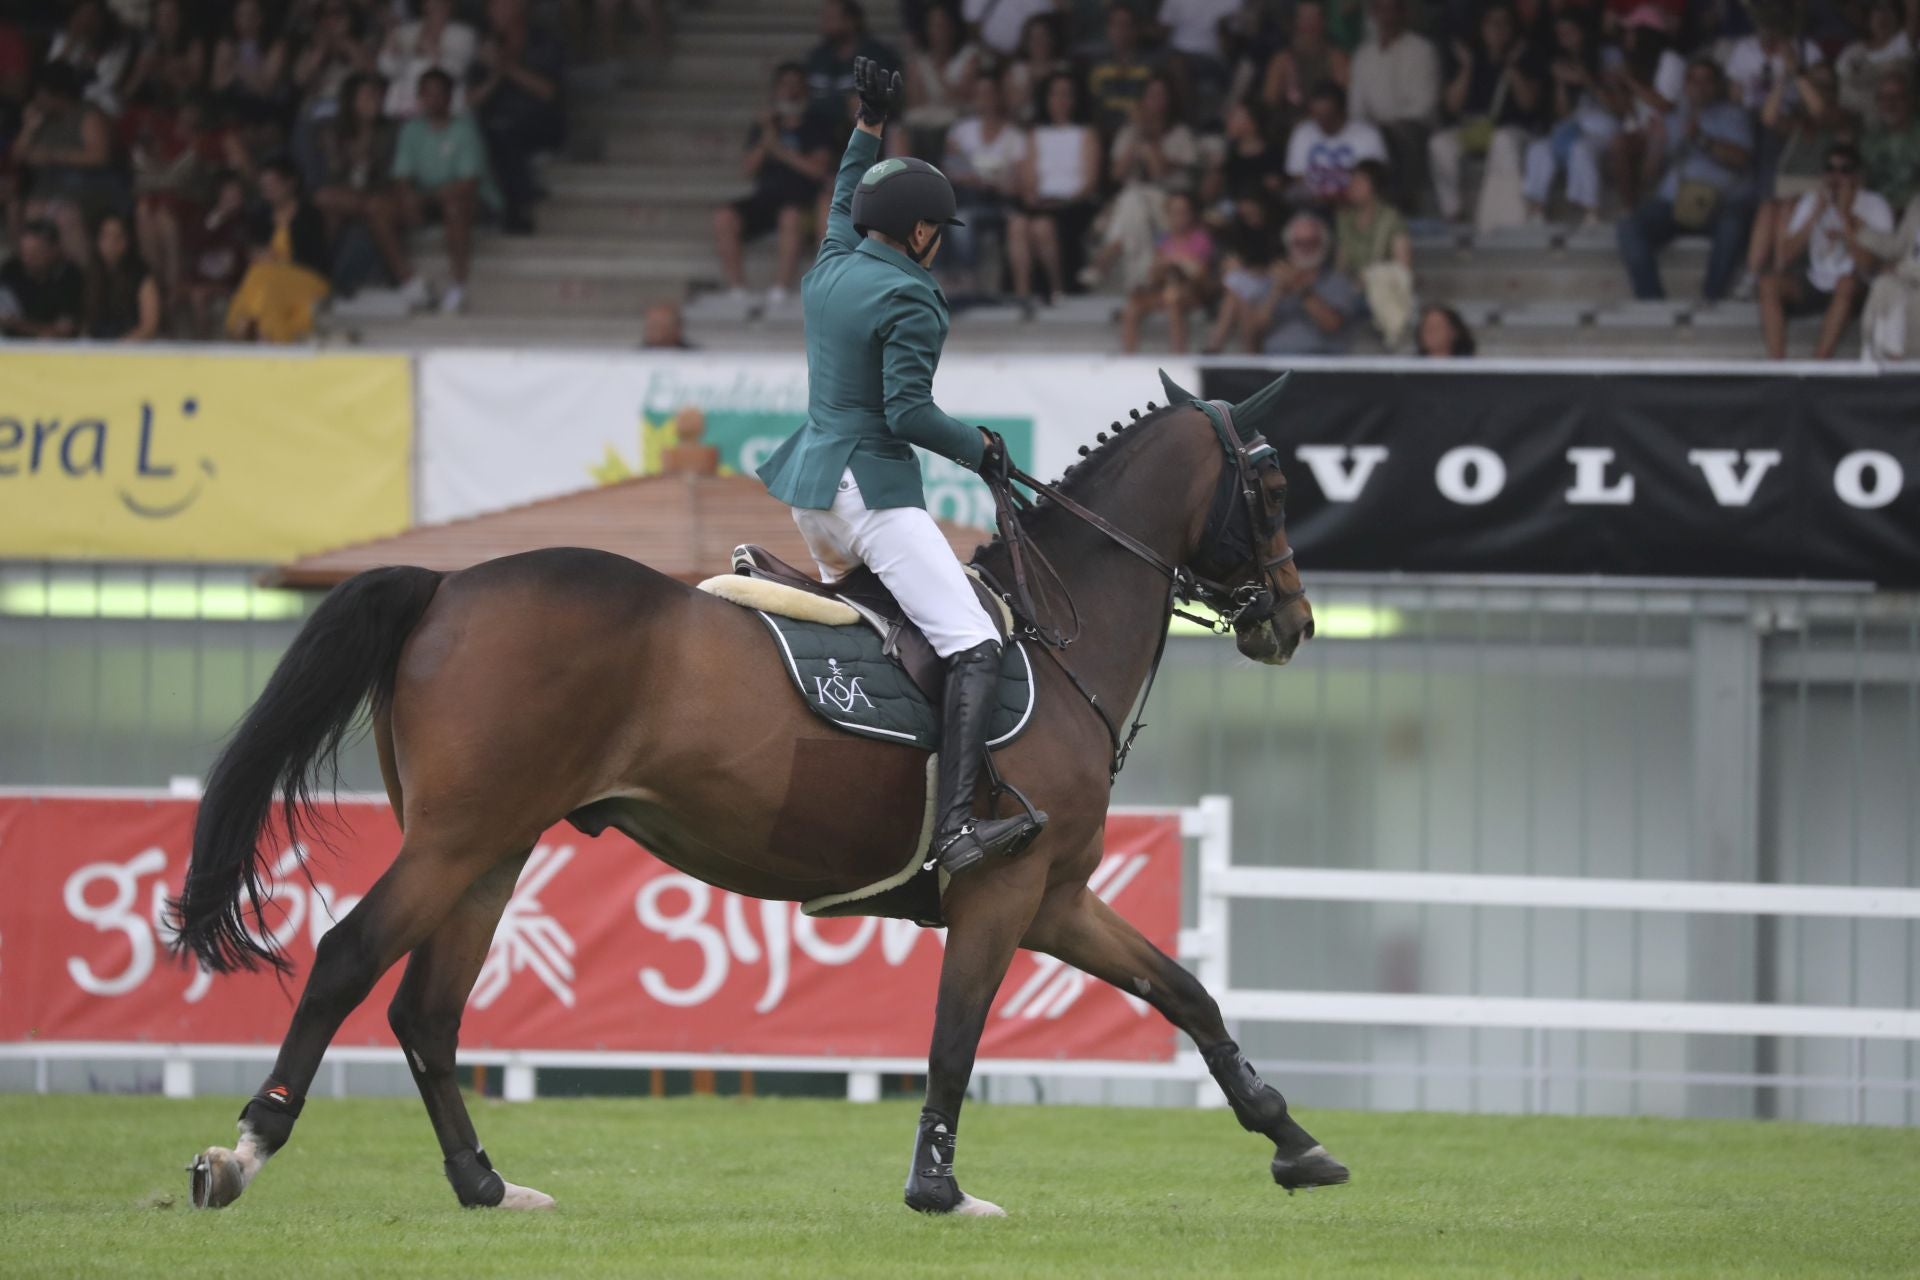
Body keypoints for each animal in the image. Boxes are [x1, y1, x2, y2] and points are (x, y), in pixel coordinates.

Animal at [176, 368, 1351, 1220]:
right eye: (1272, 489)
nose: (1293, 622)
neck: (1058, 637)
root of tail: (449, 583)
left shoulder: (1056, 897)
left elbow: (1186, 993)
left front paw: (1293, 1139)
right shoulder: (1001, 893)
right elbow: (956, 1034)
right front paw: (937, 1188)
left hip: (492, 850)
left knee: (426, 1010)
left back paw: (484, 1183)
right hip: (456, 843)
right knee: (347, 961)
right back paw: (243, 1151)